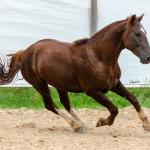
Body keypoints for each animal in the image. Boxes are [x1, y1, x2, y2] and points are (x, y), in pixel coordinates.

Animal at [0, 14, 150, 132]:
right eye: (137, 34)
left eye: (145, 33)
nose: (148, 58)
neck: (98, 57)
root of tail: (25, 52)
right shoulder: (92, 91)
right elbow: (114, 109)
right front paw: (101, 122)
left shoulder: (115, 84)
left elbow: (133, 99)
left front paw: (146, 124)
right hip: (39, 84)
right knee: (50, 105)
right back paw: (76, 125)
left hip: (60, 85)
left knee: (65, 103)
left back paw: (83, 125)